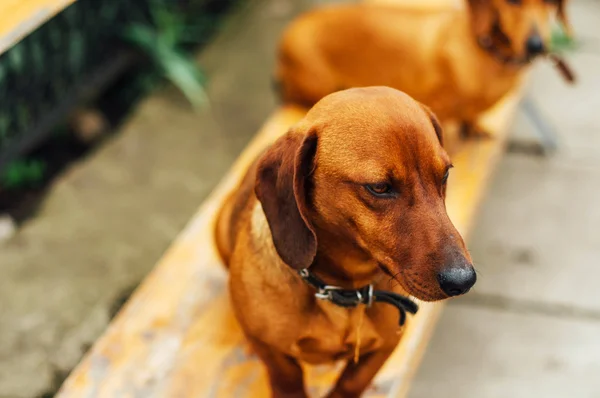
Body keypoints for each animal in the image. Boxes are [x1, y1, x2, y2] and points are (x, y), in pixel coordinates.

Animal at [216, 88, 474, 398]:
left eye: (445, 173)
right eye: (379, 187)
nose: (463, 280)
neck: (343, 292)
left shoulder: (386, 346)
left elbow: (352, 382)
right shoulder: (274, 353)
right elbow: (287, 378)